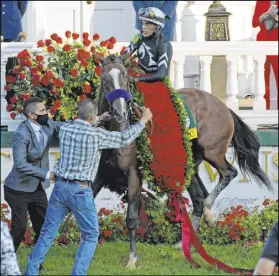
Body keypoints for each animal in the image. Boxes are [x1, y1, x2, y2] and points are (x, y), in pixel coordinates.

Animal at [91, 52, 272, 268]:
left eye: (126, 78)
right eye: (105, 80)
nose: (120, 112)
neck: (119, 130)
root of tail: (224, 106)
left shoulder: (134, 175)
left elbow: (132, 219)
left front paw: (132, 259)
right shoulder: (102, 174)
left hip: (212, 150)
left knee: (228, 173)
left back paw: (209, 213)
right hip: (190, 163)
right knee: (199, 197)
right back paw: (185, 241)